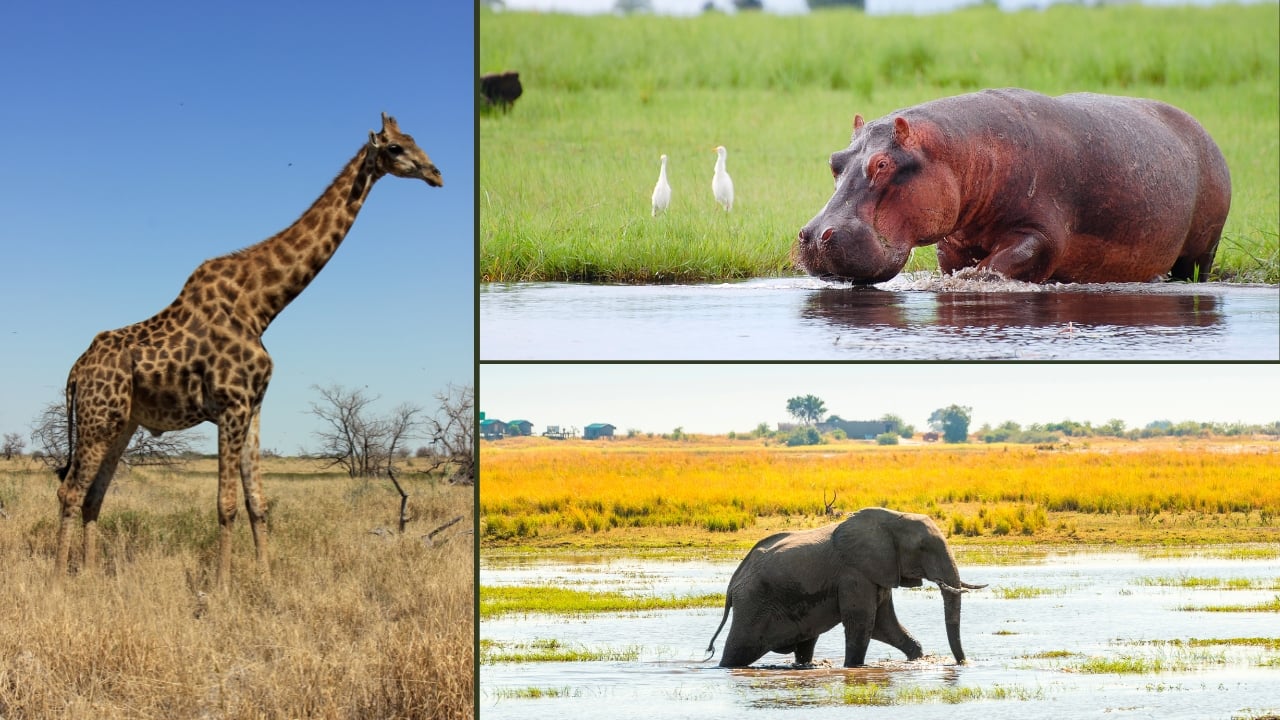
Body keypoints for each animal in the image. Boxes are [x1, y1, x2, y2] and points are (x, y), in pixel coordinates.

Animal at [705, 507, 986, 668]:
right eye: (923, 548)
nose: (962, 664)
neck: (890, 520)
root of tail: (733, 583)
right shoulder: (855, 575)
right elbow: (863, 624)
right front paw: (853, 669)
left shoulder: (877, 572)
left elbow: (884, 625)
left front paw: (918, 658)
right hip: (753, 603)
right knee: (738, 650)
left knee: (805, 644)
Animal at [794, 88, 1231, 284]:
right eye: (834, 161)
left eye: (883, 164)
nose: (815, 236)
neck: (963, 152)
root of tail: (1203, 129)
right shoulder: (952, 242)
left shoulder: (1042, 232)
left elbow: (1004, 261)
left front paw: (976, 279)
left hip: (1203, 247)